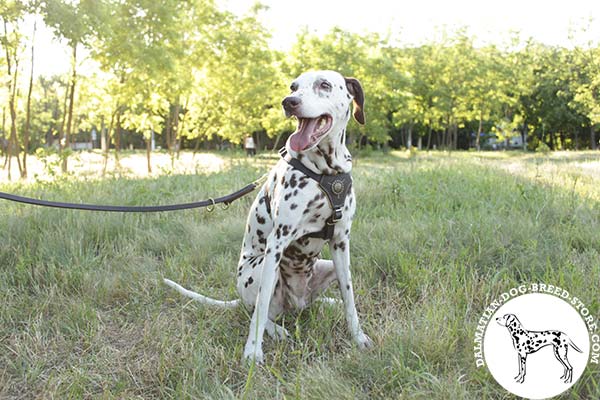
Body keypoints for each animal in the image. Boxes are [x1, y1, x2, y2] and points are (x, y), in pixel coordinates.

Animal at [163, 70, 370, 364]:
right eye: (293, 86)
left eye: (324, 84)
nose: (289, 102)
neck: (326, 174)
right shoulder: (277, 244)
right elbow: (259, 311)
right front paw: (252, 351)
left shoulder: (341, 243)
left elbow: (349, 297)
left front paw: (358, 337)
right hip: (260, 269)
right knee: (257, 310)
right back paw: (275, 329)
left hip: (326, 265)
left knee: (308, 304)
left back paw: (326, 303)